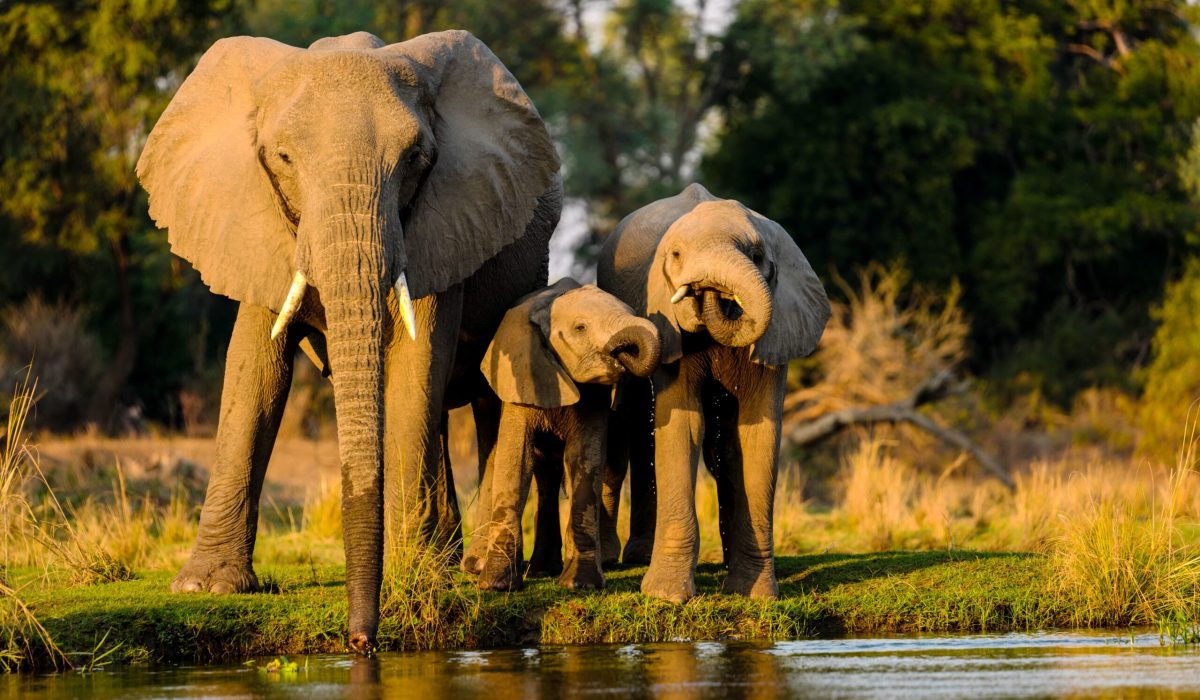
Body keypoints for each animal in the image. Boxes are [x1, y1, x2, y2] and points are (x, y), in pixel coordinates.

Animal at [136, 30, 561, 653]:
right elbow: (254, 373)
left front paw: (414, 575)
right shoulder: (253, 222)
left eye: (416, 159)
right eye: (283, 158)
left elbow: (415, 364)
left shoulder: (443, 222)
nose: (361, 642)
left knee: (487, 400)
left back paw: (482, 570)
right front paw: (205, 588)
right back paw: (447, 558)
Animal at [470, 278, 661, 591]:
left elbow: (584, 460)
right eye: (580, 328)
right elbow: (516, 461)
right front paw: (497, 585)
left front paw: (579, 585)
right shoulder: (523, 376)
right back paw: (531, 570)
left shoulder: (594, 396)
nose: (624, 354)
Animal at [595, 183, 830, 603]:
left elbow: (757, 436)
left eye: (757, 256)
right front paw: (666, 597)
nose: (707, 289)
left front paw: (755, 594)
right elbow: (682, 424)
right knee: (631, 422)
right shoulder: (667, 325)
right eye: (675, 255)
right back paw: (621, 558)